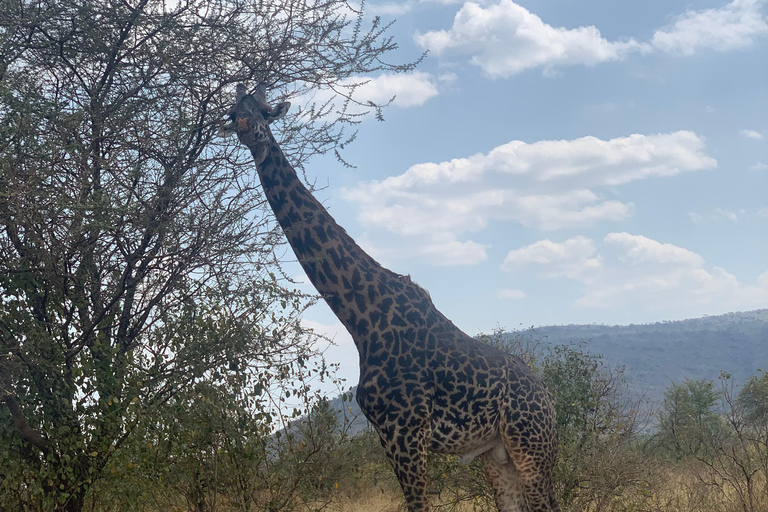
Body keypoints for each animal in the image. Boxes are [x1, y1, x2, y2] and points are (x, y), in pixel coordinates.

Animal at [219, 82, 560, 510]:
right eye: (234, 114)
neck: (361, 316)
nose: (250, 130)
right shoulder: (387, 434)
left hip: (532, 448)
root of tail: (550, 402)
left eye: (265, 112)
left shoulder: (406, 431)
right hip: (498, 456)